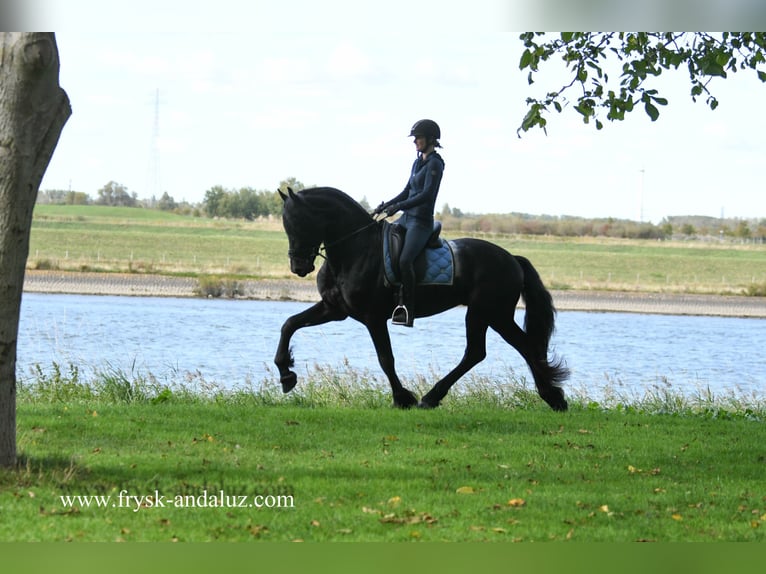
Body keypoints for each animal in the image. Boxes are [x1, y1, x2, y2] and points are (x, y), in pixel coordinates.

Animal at [274, 187, 569, 411]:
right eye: (286, 225)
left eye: (300, 223)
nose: (298, 267)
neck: (355, 250)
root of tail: (512, 259)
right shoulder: (334, 309)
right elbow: (289, 324)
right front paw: (286, 374)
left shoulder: (372, 317)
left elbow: (385, 358)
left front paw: (402, 398)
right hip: (490, 315)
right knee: (494, 350)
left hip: (487, 313)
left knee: (504, 348)